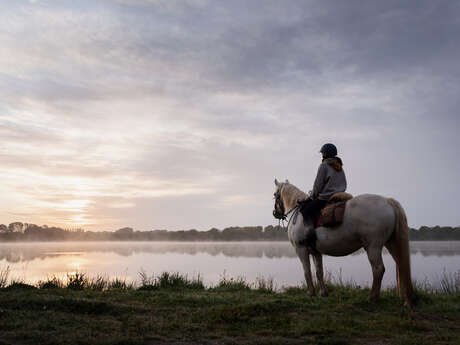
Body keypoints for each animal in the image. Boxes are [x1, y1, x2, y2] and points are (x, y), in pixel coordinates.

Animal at [272, 179, 416, 306]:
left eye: (274, 195)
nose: (275, 213)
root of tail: (387, 201)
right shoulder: (316, 252)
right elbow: (319, 272)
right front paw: (323, 293)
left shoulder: (301, 249)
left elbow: (307, 271)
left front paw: (311, 293)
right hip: (391, 244)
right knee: (401, 266)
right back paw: (405, 299)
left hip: (373, 247)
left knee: (378, 270)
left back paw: (372, 298)